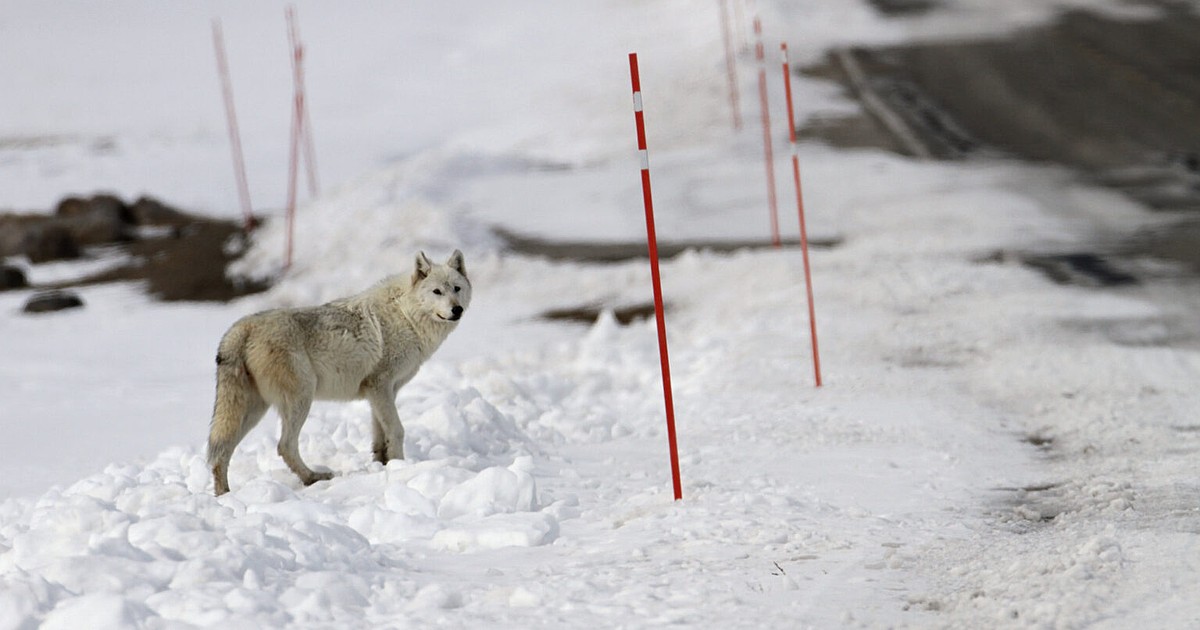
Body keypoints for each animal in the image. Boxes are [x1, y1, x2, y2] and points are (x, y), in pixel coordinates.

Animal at [206, 248, 468, 494]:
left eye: (456, 288)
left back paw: (223, 495)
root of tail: (241, 328)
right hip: (301, 399)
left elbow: (379, 436)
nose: (457, 310)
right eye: (437, 292)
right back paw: (313, 477)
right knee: (284, 445)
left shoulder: (383, 392)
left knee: (222, 450)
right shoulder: (380, 386)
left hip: (253, 411)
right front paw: (399, 466)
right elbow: (396, 430)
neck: (405, 315)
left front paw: (382, 466)